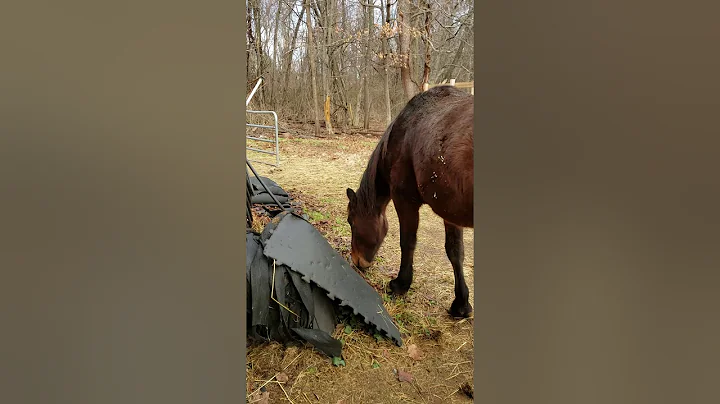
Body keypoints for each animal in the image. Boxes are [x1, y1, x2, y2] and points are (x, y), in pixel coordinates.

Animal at [346, 86, 476, 318]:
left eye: (351, 221)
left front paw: (400, 284)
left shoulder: (405, 200)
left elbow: (407, 242)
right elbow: (455, 252)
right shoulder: (450, 212)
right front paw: (461, 304)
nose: (357, 260)